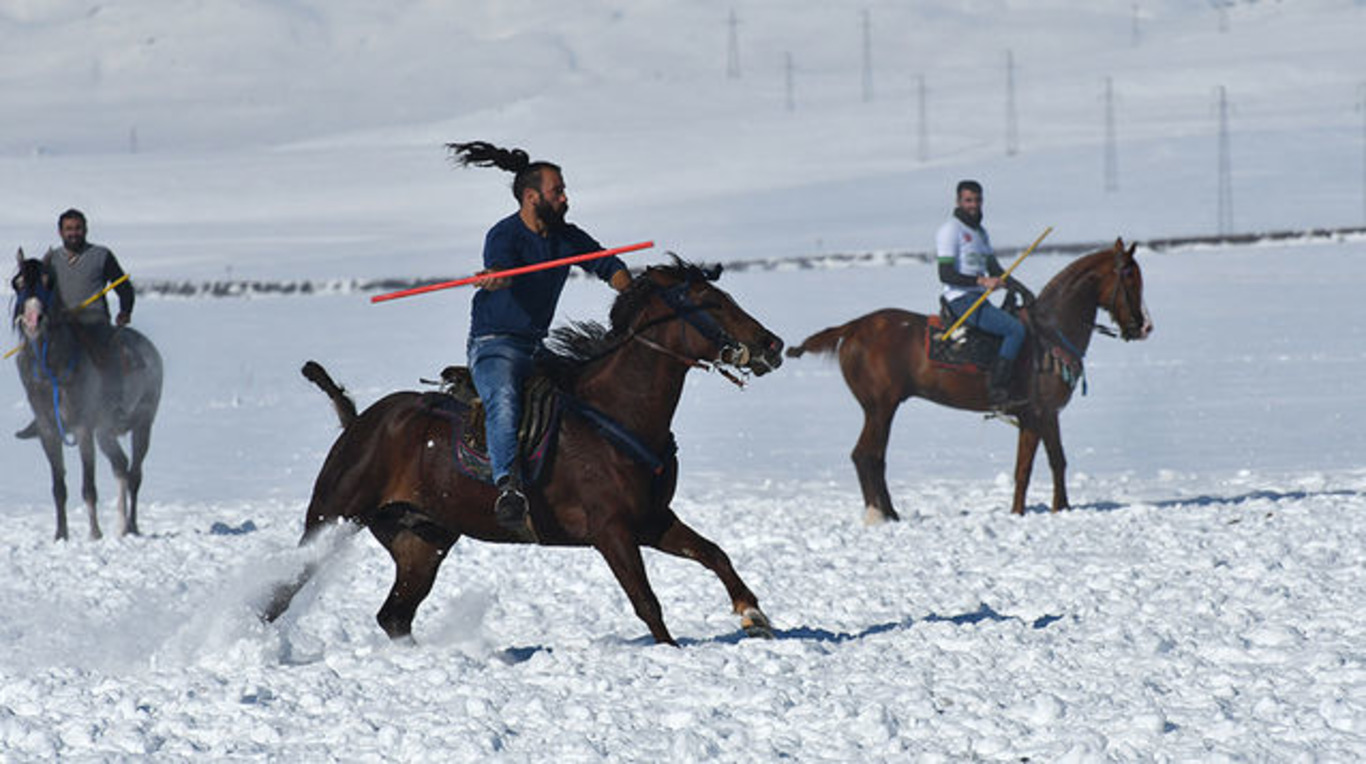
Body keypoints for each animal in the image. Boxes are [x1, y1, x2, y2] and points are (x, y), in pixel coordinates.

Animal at [10, 251, 162, 538]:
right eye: (18, 282)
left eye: (48, 281)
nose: (33, 319)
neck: (53, 369)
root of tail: (150, 349)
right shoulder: (49, 431)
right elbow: (59, 488)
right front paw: (61, 535)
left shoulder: (83, 429)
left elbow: (88, 487)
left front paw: (94, 535)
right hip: (105, 433)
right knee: (121, 467)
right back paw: (120, 526)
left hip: (143, 423)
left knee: (135, 474)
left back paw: (131, 527)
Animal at [260, 259, 786, 647]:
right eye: (711, 303)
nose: (773, 344)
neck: (619, 413)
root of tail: (359, 422)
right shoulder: (611, 530)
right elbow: (646, 601)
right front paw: (672, 650)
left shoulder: (651, 520)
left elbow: (714, 554)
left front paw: (753, 614)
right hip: (332, 516)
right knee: (281, 595)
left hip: (422, 540)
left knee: (394, 615)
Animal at [792, 240, 1152, 524]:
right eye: (1129, 276)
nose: (1144, 326)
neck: (1052, 331)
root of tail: (851, 327)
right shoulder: (1039, 414)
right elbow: (1033, 467)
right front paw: (1029, 512)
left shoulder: (1042, 416)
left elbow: (1048, 464)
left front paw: (1050, 510)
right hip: (880, 407)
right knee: (866, 455)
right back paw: (877, 515)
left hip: (881, 408)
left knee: (874, 457)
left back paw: (891, 513)